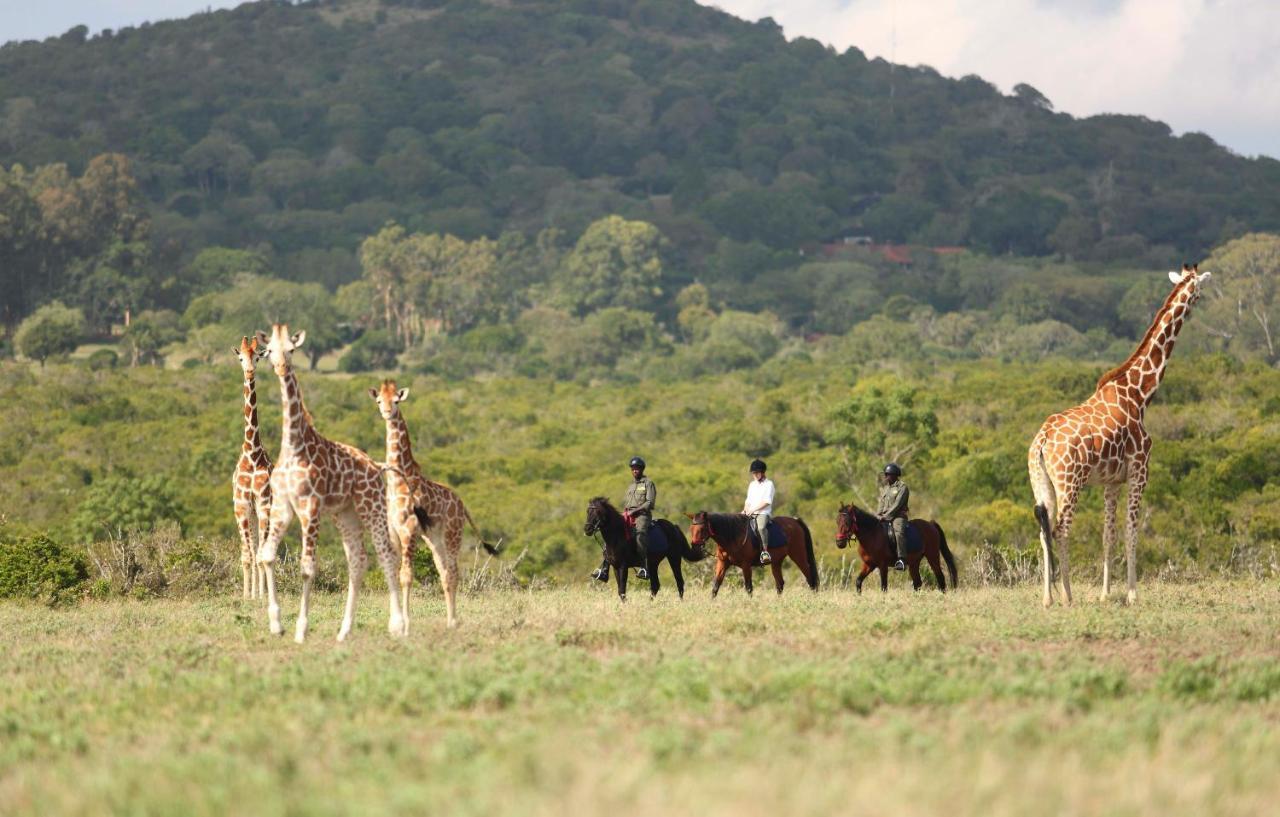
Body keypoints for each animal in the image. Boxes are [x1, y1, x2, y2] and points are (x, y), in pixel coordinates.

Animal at [254, 322, 404, 642]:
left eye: (292, 349)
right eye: (269, 350)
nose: (281, 368)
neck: (294, 446)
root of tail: (376, 465)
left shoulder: (310, 508)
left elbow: (307, 568)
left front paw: (301, 629)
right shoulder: (282, 507)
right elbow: (268, 556)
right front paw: (276, 623)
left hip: (371, 507)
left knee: (386, 556)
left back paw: (398, 626)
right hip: (345, 513)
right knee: (358, 561)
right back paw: (344, 630)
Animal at [368, 381, 496, 635]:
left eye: (396, 401)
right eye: (379, 401)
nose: (387, 412)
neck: (397, 481)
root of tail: (462, 505)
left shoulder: (408, 530)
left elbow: (406, 576)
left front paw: (406, 625)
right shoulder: (393, 532)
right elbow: (393, 572)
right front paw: (394, 624)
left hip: (452, 533)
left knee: (454, 572)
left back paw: (453, 621)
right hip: (434, 538)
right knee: (444, 573)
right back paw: (450, 620)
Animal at [686, 514, 814, 599]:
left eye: (702, 528)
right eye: (691, 528)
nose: (695, 547)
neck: (733, 536)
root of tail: (795, 521)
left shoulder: (746, 565)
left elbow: (748, 587)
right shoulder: (722, 563)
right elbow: (715, 586)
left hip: (798, 555)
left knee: (809, 577)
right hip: (776, 562)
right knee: (780, 584)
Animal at [1024, 263, 1213, 609]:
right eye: (1198, 289)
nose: (1196, 305)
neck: (1140, 394)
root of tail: (1042, 441)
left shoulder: (1111, 481)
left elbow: (1108, 535)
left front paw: (1105, 593)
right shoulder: (1140, 470)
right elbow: (1131, 531)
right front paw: (1133, 594)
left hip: (1041, 482)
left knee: (1044, 530)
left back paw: (1047, 598)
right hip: (1070, 482)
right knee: (1061, 530)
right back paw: (1067, 595)